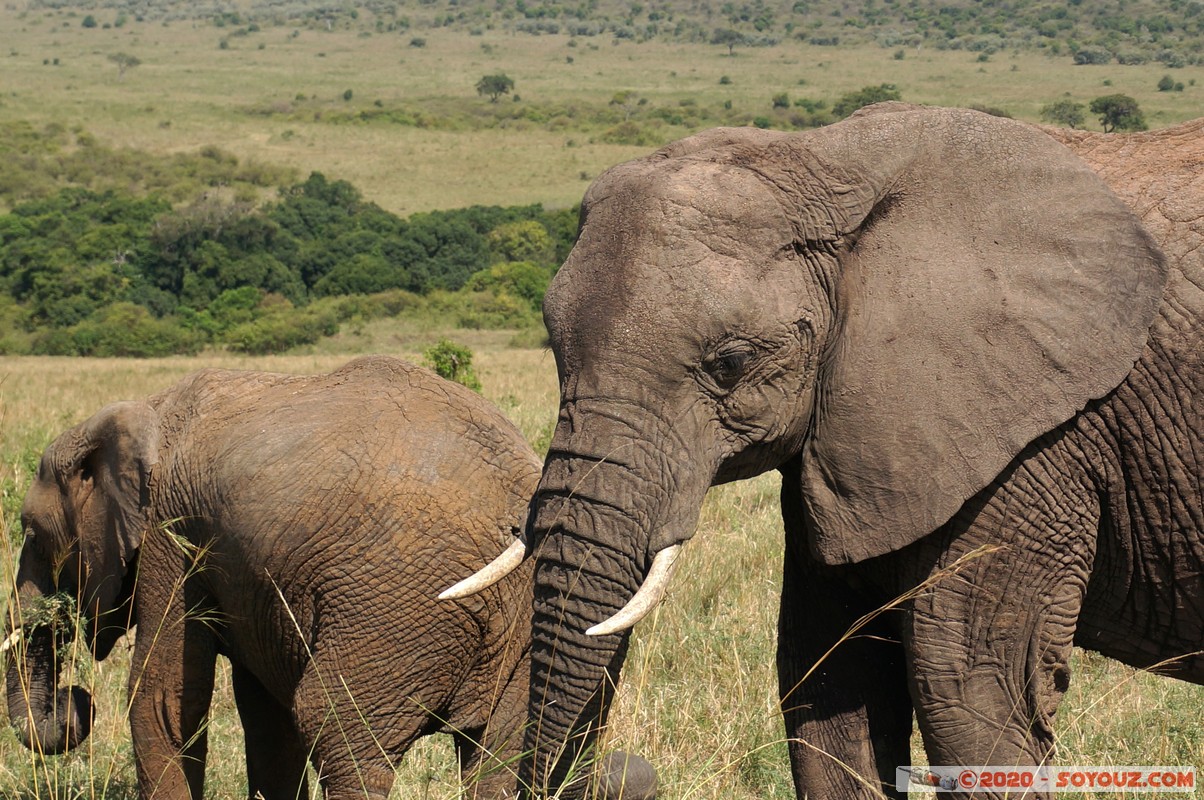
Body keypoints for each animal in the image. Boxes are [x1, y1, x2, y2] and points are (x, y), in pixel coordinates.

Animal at [4, 354, 652, 800]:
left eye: (30, 533)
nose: (76, 700)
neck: (143, 409)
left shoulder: (172, 533)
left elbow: (163, 701)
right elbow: (265, 721)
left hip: (402, 616)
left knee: (339, 731)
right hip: (543, 636)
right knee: (497, 755)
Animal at [448, 105, 1204, 798]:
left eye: (730, 363)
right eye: (553, 343)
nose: (622, 772)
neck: (827, 160)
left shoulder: (1036, 442)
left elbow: (970, 688)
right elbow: (826, 678)